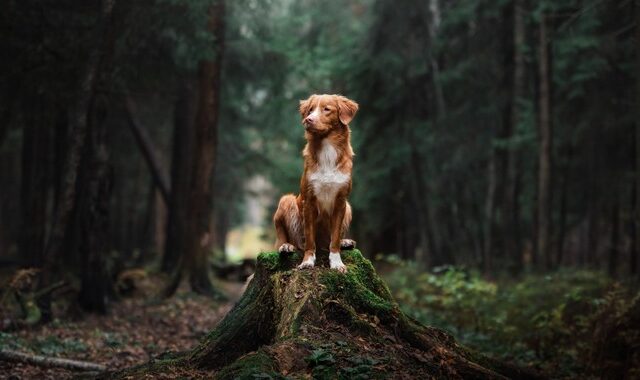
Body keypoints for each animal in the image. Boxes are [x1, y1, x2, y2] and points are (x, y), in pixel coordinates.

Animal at [272, 94, 358, 274]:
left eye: (327, 109)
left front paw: (336, 263)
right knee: (287, 238)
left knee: (331, 240)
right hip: (286, 200)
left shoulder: (341, 201)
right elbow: (310, 239)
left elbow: (335, 238)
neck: (327, 150)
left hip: (348, 207)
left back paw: (345, 242)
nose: (308, 120)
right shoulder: (309, 201)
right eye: (310, 110)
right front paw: (308, 262)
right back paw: (286, 246)